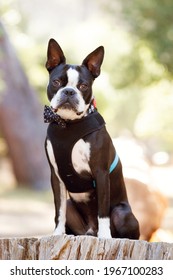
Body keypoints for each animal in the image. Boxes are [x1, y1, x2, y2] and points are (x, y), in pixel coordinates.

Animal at [44, 38, 139, 238]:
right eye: (56, 82)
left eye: (83, 86)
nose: (69, 92)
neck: (69, 125)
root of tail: (90, 230)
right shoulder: (55, 176)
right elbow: (59, 210)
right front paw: (57, 234)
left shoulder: (100, 172)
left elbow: (103, 211)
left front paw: (105, 237)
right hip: (74, 209)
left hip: (122, 212)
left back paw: (106, 236)